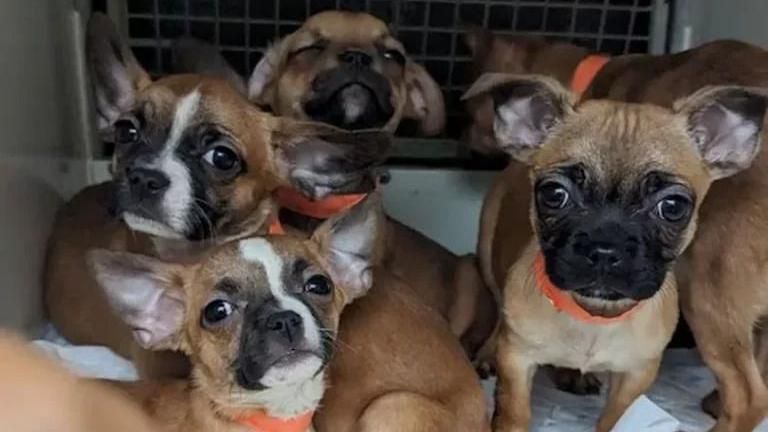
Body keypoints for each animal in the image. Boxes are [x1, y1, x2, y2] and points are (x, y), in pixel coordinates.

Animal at [468, 31, 768, 432]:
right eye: (554, 194)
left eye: (673, 207)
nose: (605, 249)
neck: (593, 315)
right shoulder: (518, 362)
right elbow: (514, 412)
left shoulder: (636, 375)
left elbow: (616, 417)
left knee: (749, 395)